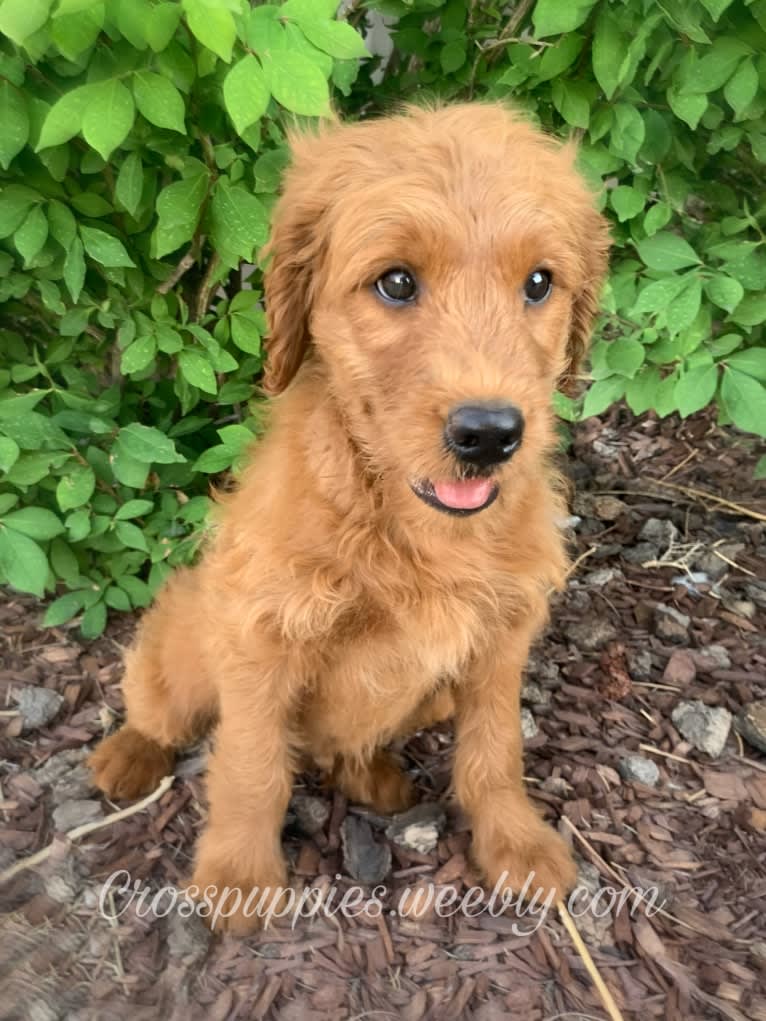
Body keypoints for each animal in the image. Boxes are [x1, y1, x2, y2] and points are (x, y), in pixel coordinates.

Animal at [91, 101, 612, 935]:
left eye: (539, 283)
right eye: (396, 281)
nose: (490, 434)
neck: (410, 521)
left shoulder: (502, 635)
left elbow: (495, 750)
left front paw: (517, 842)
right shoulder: (260, 635)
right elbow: (251, 767)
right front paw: (237, 874)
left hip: (431, 690)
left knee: (349, 745)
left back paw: (374, 777)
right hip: (185, 643)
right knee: (159, 704)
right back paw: (128, 755)